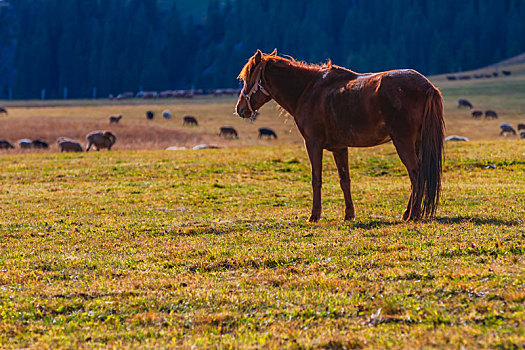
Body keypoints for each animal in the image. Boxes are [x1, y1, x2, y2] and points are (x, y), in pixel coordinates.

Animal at [235, 50, 444, 221]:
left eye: (247, 79)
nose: (240, 109)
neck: (306, 90)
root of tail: (427, 86)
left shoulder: (313, 144)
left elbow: (316, 179)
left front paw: (314, 215)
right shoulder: (340, 148)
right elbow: (345, 180)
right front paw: (349, 214)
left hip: (403, 142)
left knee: (416, 173)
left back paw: (414, 213)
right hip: (416, 143)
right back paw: (408, 213)